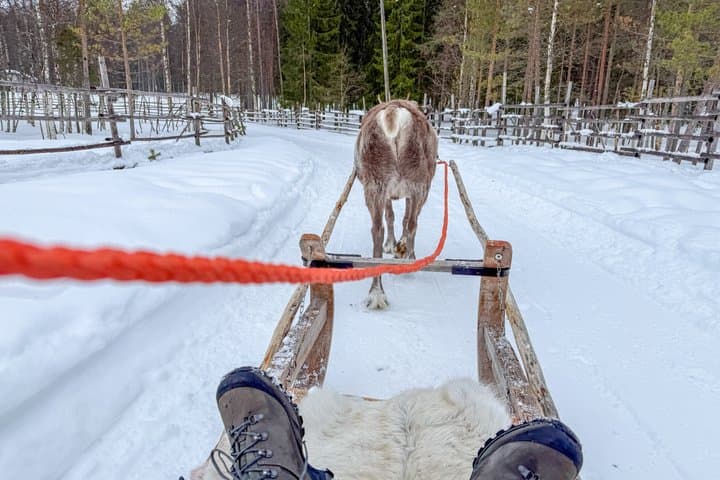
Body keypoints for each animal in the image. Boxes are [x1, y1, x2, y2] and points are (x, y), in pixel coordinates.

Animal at [354, 100, 439, 309]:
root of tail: (393, 113)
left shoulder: (389, 193)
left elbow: (392, 217)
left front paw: (392, 245)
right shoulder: (412, 192)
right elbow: (405, 219)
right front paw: (399, 246)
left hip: (375, 185)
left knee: (377, 229)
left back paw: (376, 293)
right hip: (419, 185)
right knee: (413, 223)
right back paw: (409, 259)